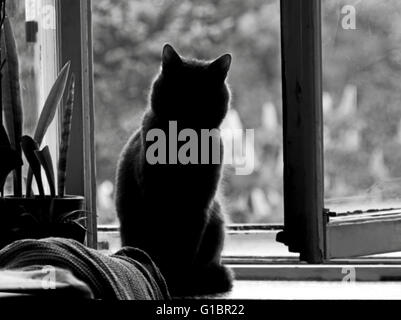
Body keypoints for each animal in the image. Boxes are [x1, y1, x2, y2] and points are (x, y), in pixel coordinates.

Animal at [115, 43, 234, 296]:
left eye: (205, 95)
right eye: (177, 90)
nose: (189, 108)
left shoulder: (198, 206)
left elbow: (185, 248)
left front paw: (179, 280)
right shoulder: (155, 197)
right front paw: (166, 279)